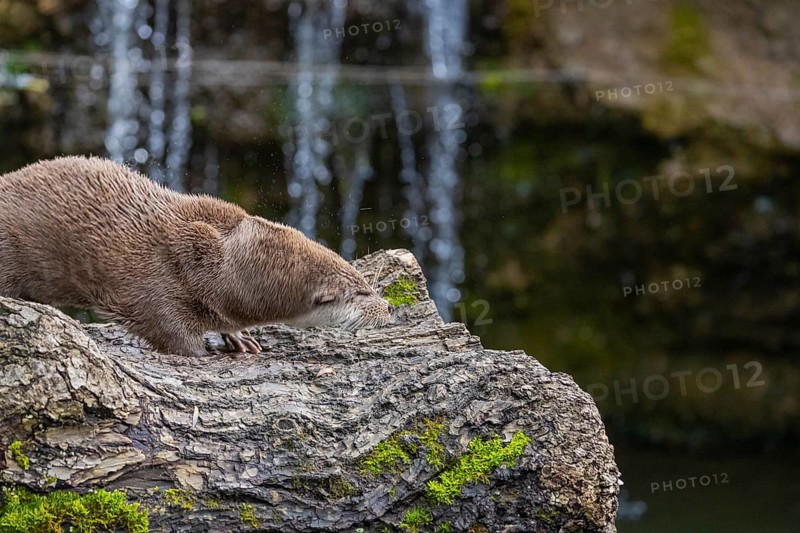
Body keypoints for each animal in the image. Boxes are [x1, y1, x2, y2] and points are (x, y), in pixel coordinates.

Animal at [0, 156, 391, 356]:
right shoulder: (153, 289)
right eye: (360, 292)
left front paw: (239, 337)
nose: (388, 307)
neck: (219, 268)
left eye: (364, 280)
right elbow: (168, 332)